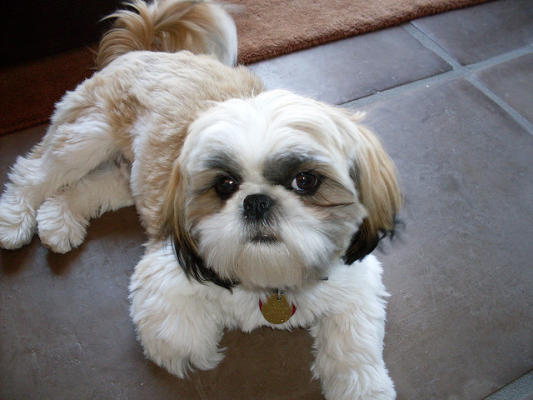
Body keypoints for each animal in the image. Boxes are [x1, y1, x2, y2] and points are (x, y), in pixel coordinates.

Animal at [0, 1, 400, 398]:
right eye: (225, 184)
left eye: (305, 180)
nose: (256, 201)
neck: (269, 277)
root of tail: (146, 50)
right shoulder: (167, 267)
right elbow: (178, 335)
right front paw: (202, 350)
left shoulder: (356, 281)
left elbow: (354, 341)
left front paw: (363, 385)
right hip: (88, 135)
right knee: (34, 172)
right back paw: (14, 220)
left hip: (130, 175)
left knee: (83, 188)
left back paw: (59, 221)